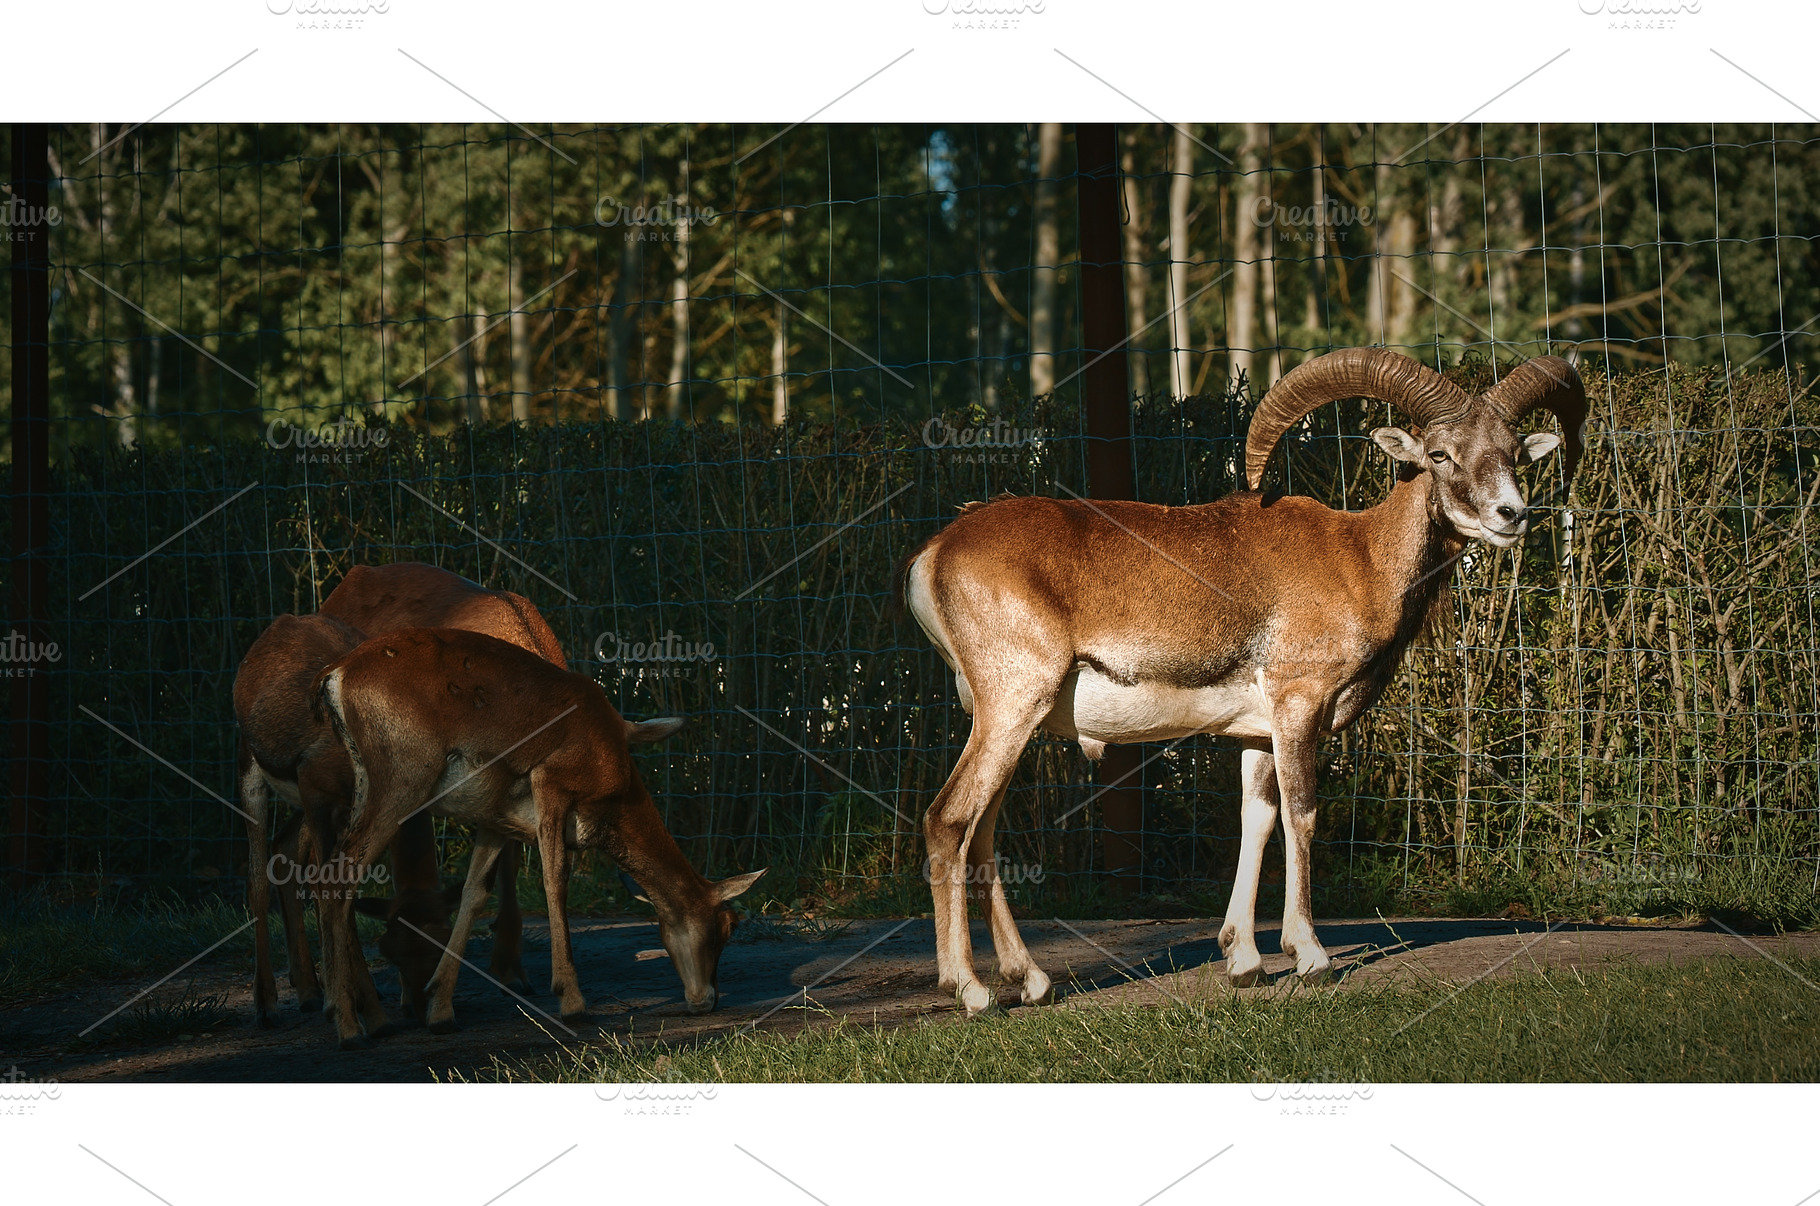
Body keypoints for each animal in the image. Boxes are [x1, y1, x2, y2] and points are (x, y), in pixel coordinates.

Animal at [316, 627, 764, 1048]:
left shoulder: (495, 819)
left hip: (364, 783)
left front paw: (440, 1009)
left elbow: (474, 894)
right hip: (403, 779)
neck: (615, 787)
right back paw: (348, 1025)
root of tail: (335, 674)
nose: (708, 999)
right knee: (336, 880)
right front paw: (573, 1002)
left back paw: (366, 1016)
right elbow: (555, 879)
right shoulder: (551, 782)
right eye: (729, 925)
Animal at [897, 347, 1586, 1012]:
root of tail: (933, 556)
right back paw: (971, 991)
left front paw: (1245, 963)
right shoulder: (1300, 708)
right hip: (1011, 708)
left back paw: (1034, 983)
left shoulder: (1258, 733)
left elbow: (1258, 820)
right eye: (1441, 454)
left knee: (981, 835)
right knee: (948, 822)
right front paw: (1310, 958)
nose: (1511, 514)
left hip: (1013, 725)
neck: (1361, 560)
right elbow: (1302, 817)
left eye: (1514, 451)